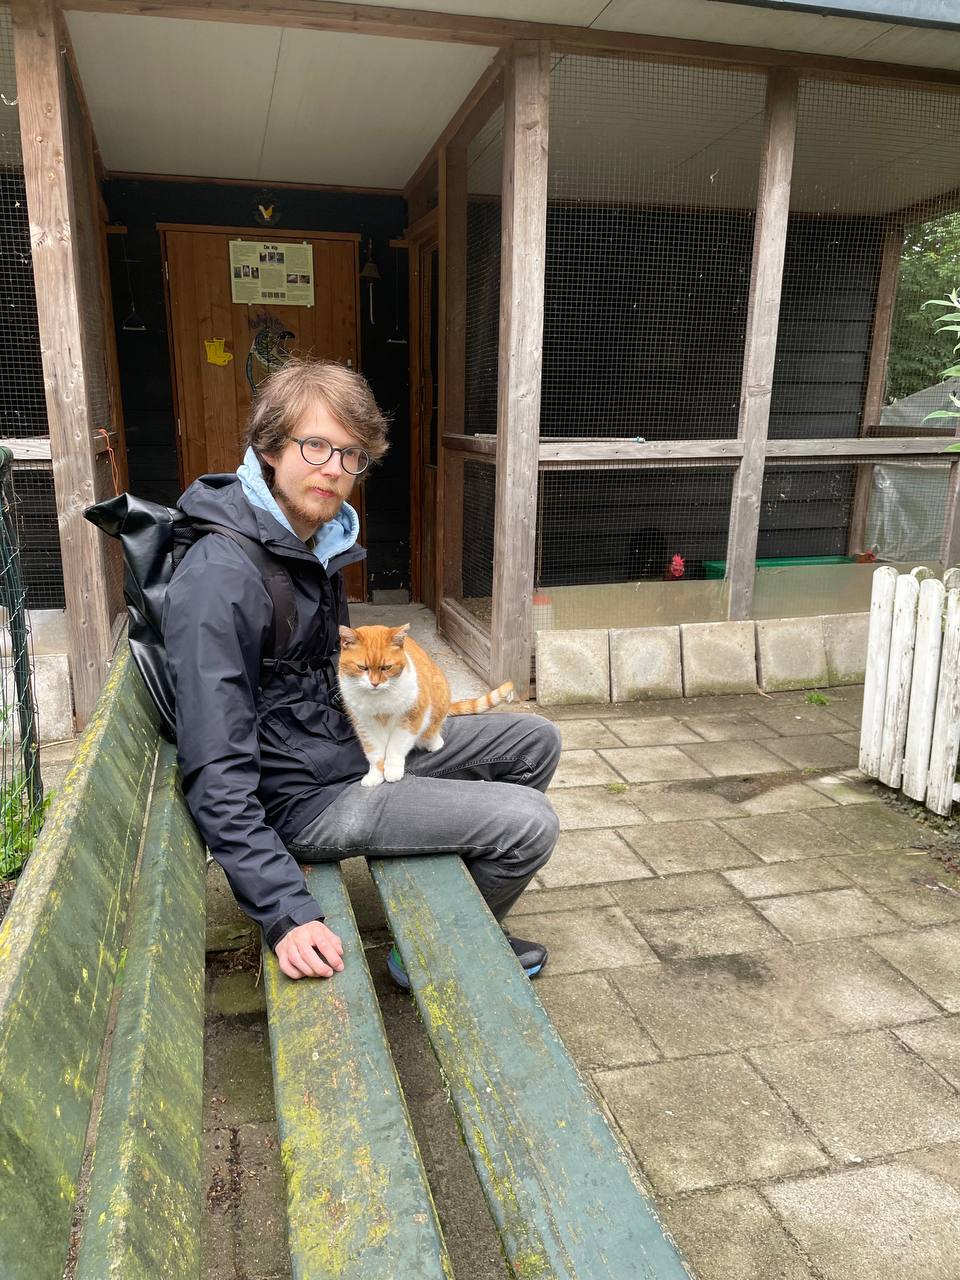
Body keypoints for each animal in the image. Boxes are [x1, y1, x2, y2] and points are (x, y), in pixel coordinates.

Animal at [340, 624, 514, 783]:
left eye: (386, 667)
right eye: (362, 667)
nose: (375, 683)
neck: (378, 701)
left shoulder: (412, 717)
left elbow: (396, 747)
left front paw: (392, 770)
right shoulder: (364, 725)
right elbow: (374, 753)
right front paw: (375, 776)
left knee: (432, 733)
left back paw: (434, 742)